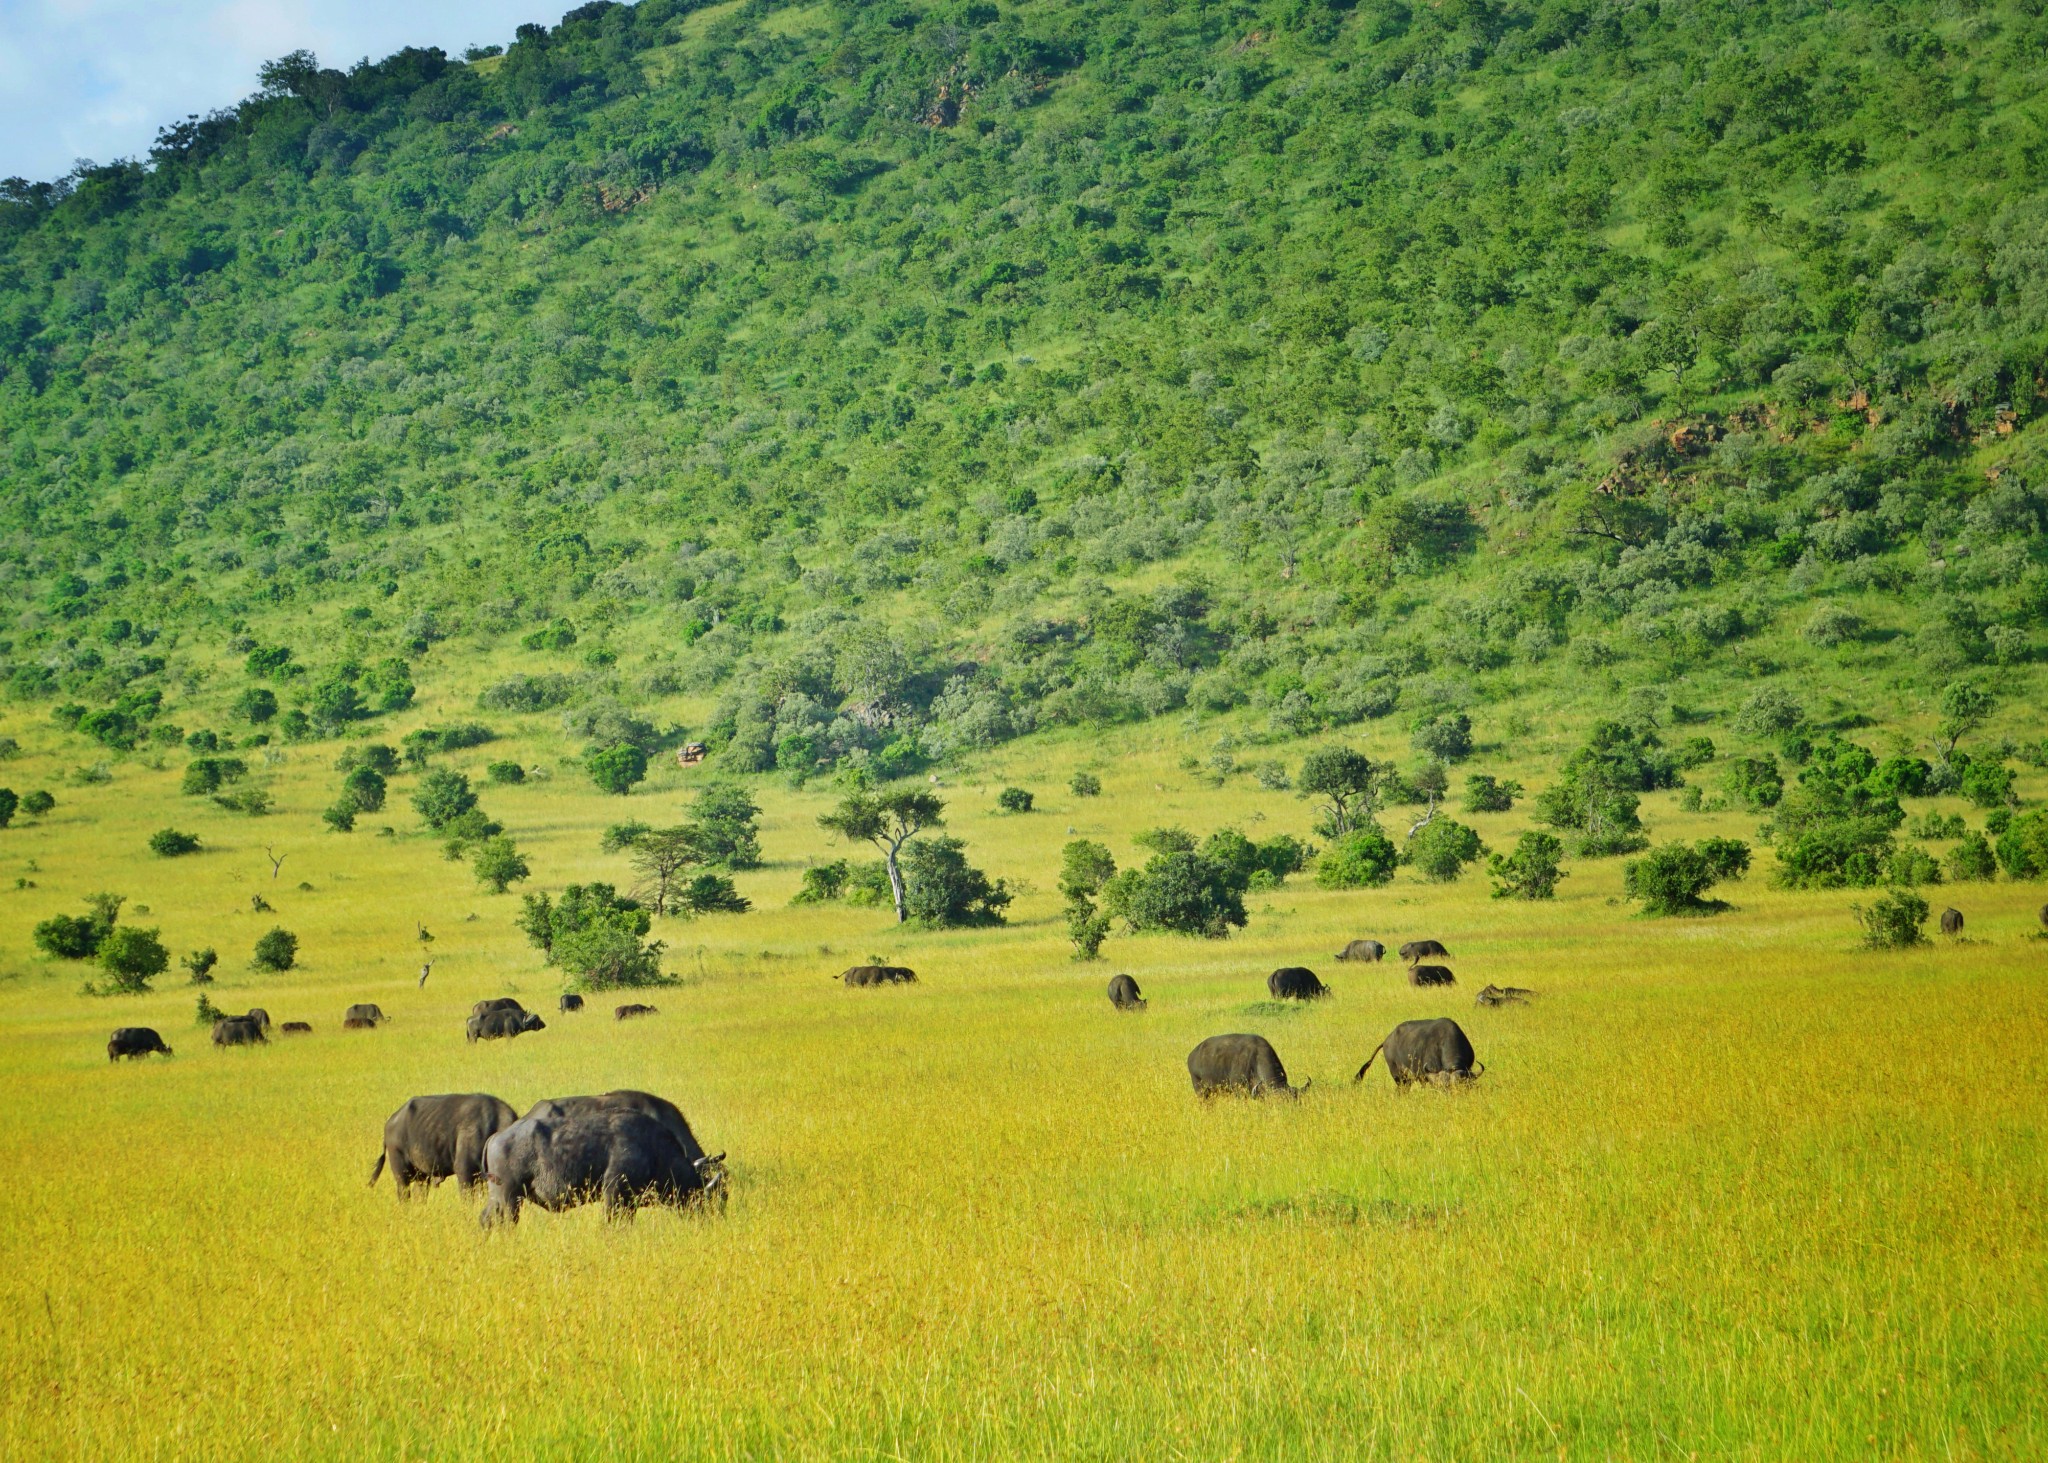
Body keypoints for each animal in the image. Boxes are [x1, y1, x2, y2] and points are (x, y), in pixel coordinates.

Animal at [481, 1106, 729, 1221]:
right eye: (705, 1197)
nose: (713, 1220)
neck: (653, 1149)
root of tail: (496, 1137)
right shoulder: (614, 1193)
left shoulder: (629, 1203)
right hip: (509, 1198)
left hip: (498, 1198)